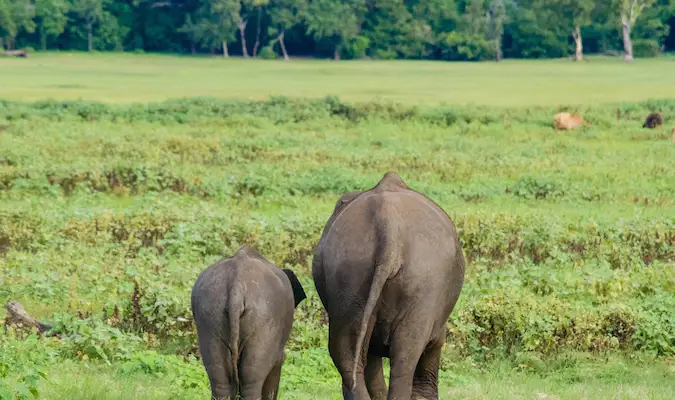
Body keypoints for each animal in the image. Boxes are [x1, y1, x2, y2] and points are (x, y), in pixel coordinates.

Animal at [190, 245, 306, 400]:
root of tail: (236, 286)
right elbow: (277, 364)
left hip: (209, 317)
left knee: (220, 377)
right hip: (262, 322)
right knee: (251, 378)